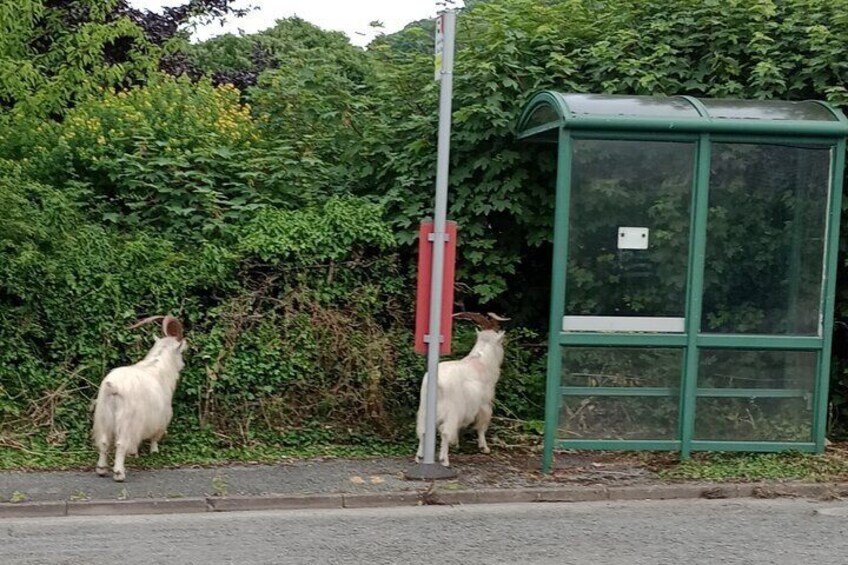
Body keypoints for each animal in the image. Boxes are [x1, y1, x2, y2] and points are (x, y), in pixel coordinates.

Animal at [93, 312, 186, 480]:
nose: (183, 365)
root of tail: (113, 386)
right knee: (120, 443)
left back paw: (102, 469)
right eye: (181, 352)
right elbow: (155, 436)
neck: (159, 367)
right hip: (126, 419)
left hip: (103, 416)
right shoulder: (162, 416)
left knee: (103, 442)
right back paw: (119, 473)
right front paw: (154, 451)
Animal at [416, 310, 506, 464]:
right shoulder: (484, 404)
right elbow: (482, 426)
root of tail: (438, 383)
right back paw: (444, 459)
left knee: (422, 430)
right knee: (445, 431)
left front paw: (456, 443)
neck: (481, 362)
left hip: (424, 409)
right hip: (451, 410)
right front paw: (484, 447)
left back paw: (419, 456)